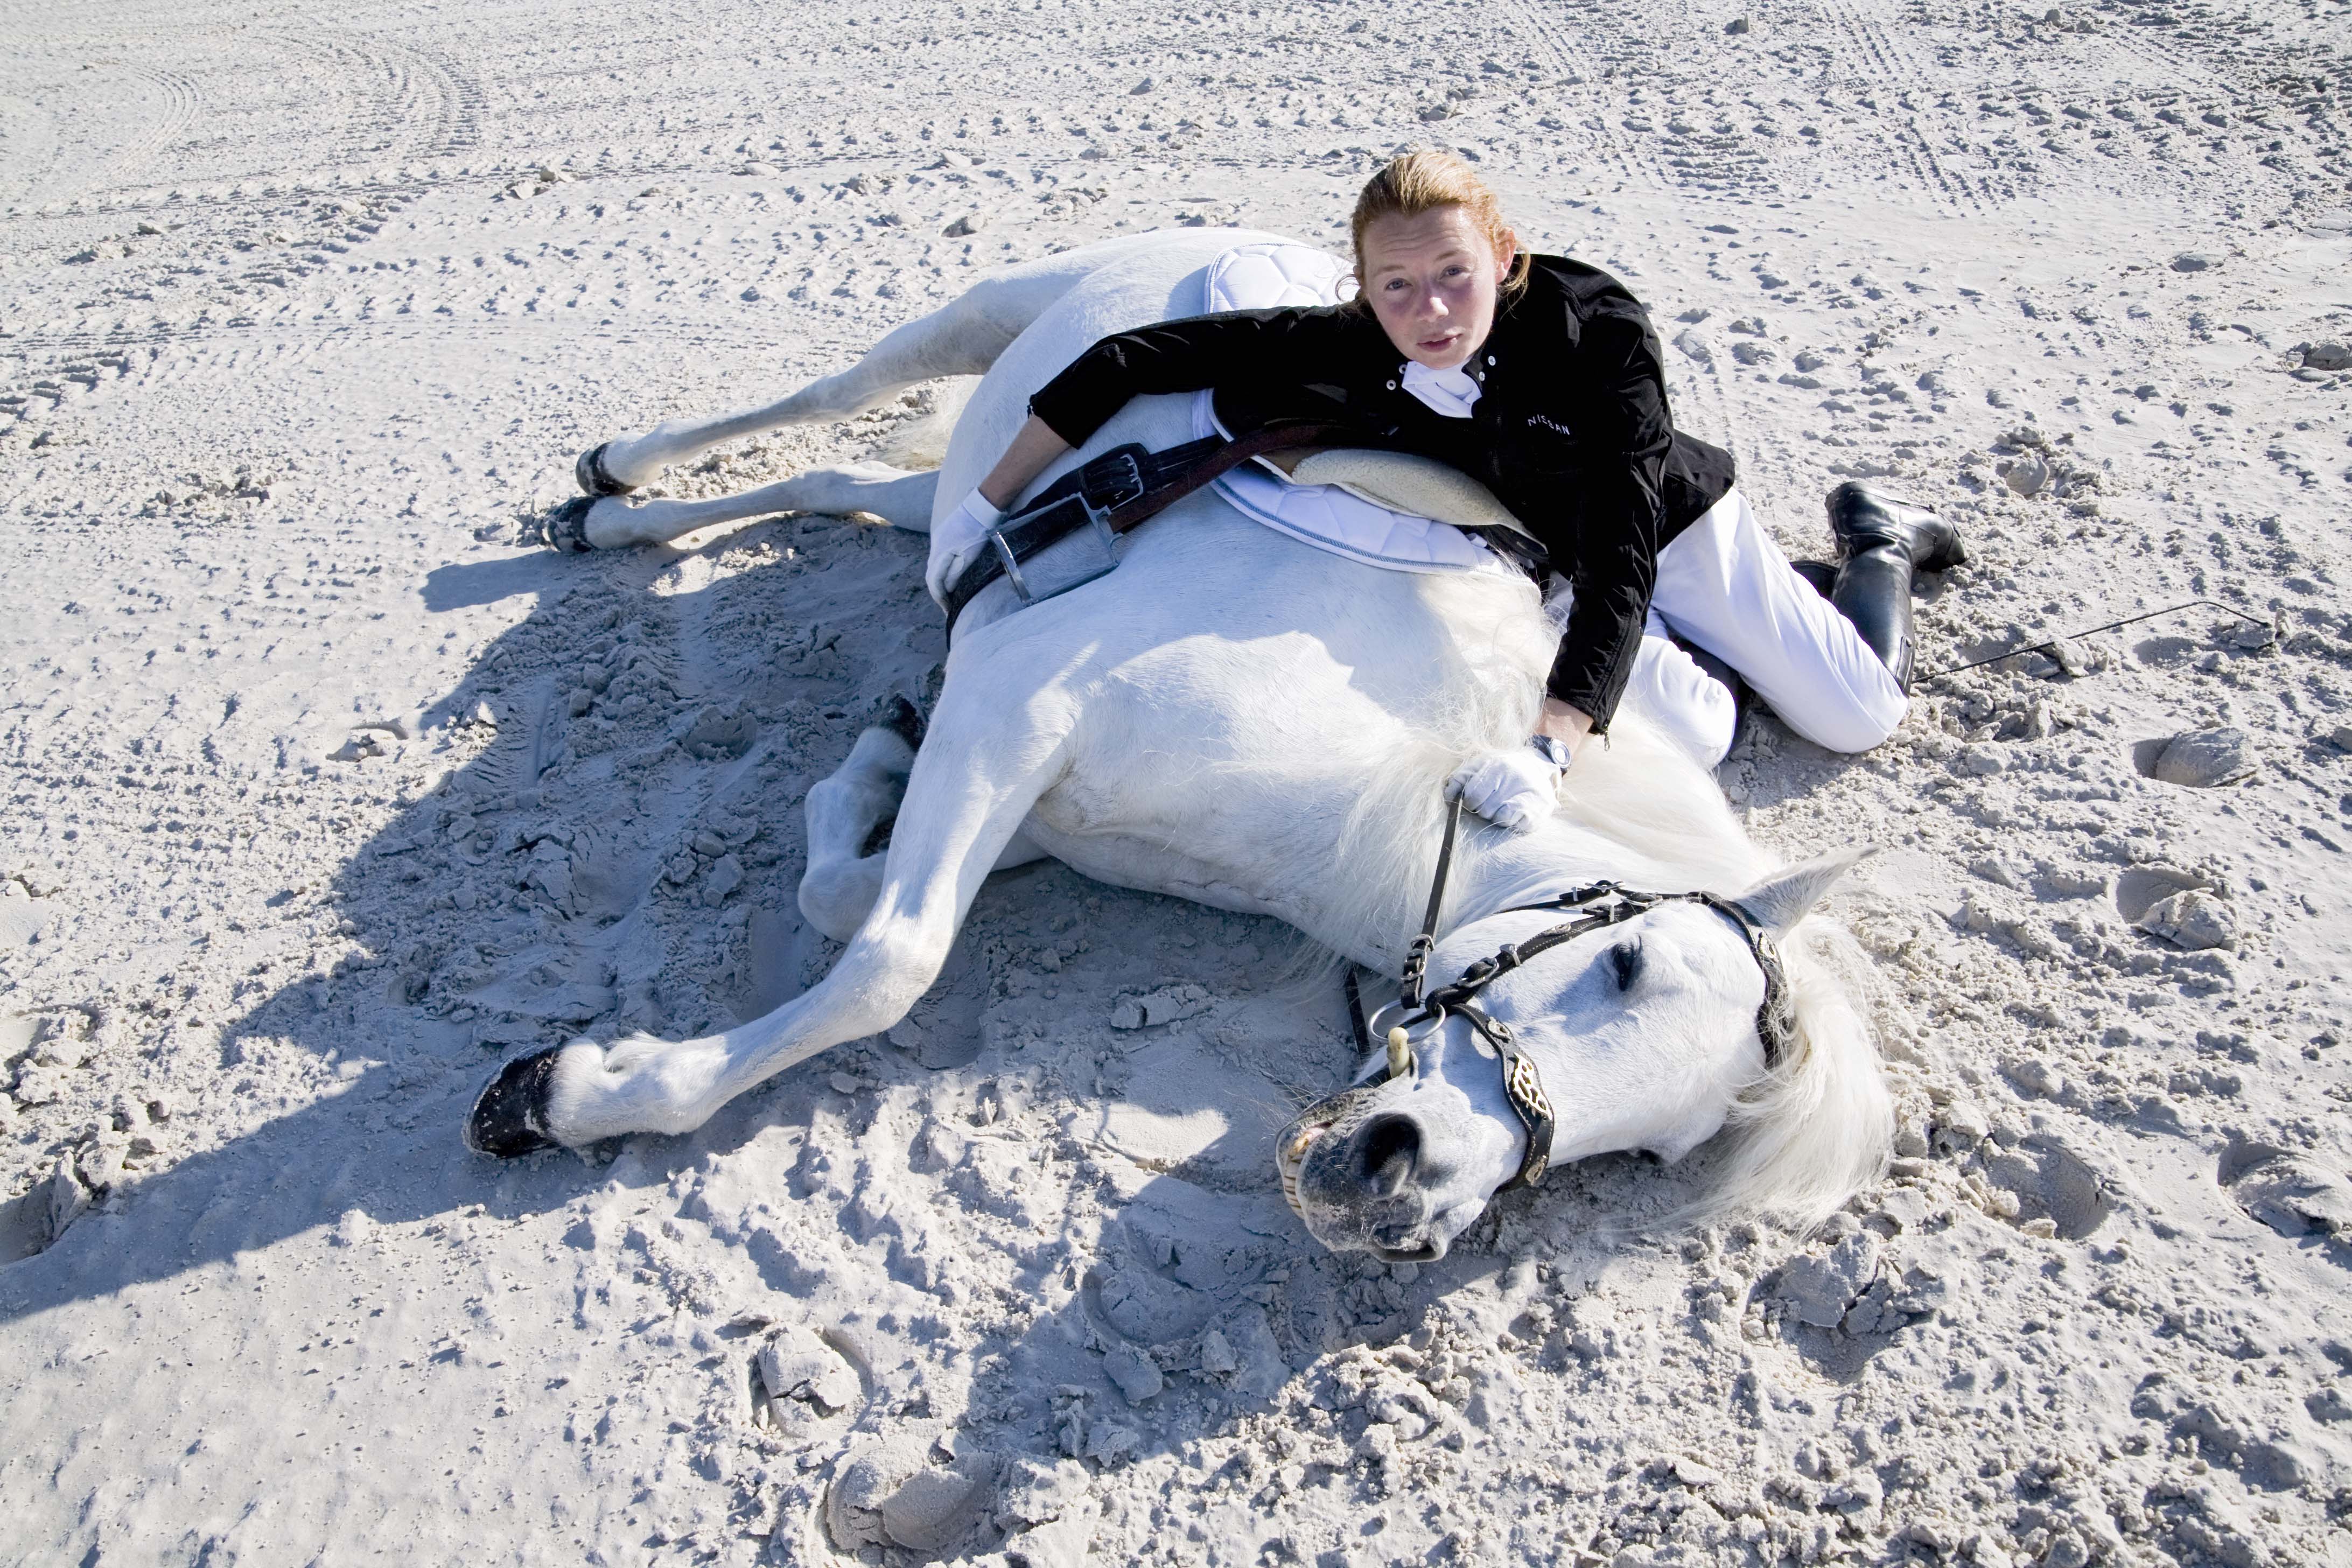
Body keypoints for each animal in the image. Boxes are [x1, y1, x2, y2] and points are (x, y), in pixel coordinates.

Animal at [472, 230, 1891, 1260]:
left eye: (1659, 1150)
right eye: (1625, 963)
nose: (1397, 1197)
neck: (1382, 770)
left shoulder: (1024, 795)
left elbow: (847, 891)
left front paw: (865, 768)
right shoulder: (1022, 708)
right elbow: (890, 963)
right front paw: (562, 1097)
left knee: (861, 493)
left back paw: (637, 531)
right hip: (974, 321)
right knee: (833, 399)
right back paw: (613, 482)